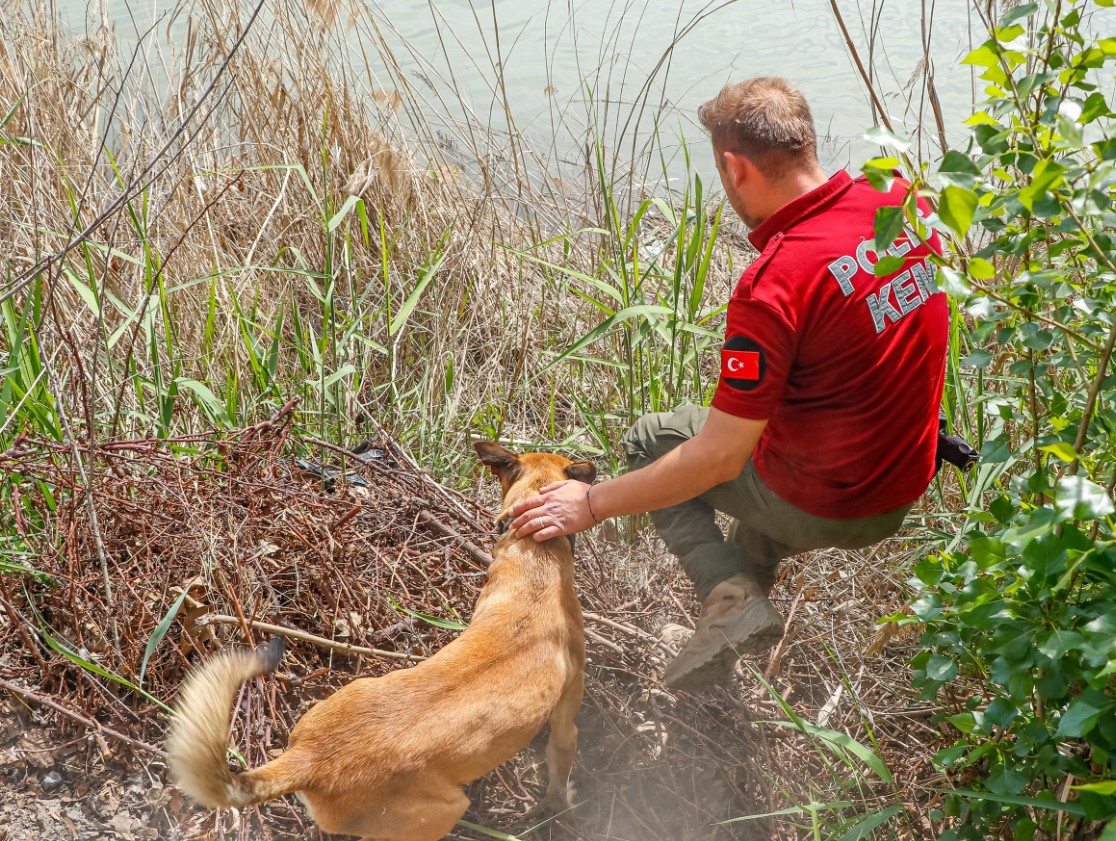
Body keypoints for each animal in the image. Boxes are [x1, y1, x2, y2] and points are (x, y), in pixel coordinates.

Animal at [166, 441, 598, 834]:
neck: (535, 557)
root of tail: (310, 758)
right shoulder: (566, 725)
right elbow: (559, 778)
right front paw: (562, 809)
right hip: (442, 812)